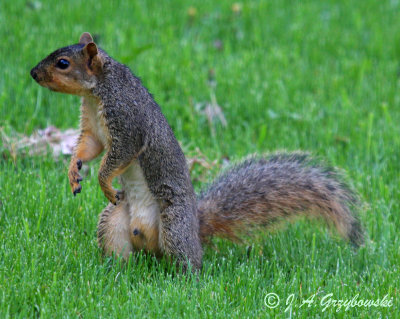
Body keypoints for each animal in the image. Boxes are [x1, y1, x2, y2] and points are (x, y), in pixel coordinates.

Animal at [30, 31, 362, 272]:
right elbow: (89, 147)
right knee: (120, 249)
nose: (32, 73)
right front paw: (73, 171)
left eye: (62, 63)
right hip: (113, 222)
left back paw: (181, 279)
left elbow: (118, 155)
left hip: (174, 225)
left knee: (187, 262)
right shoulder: (94, 127)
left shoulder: (127, 121)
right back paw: (113, 271)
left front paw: (104, 182)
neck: (97, 90)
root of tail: (196, 229)